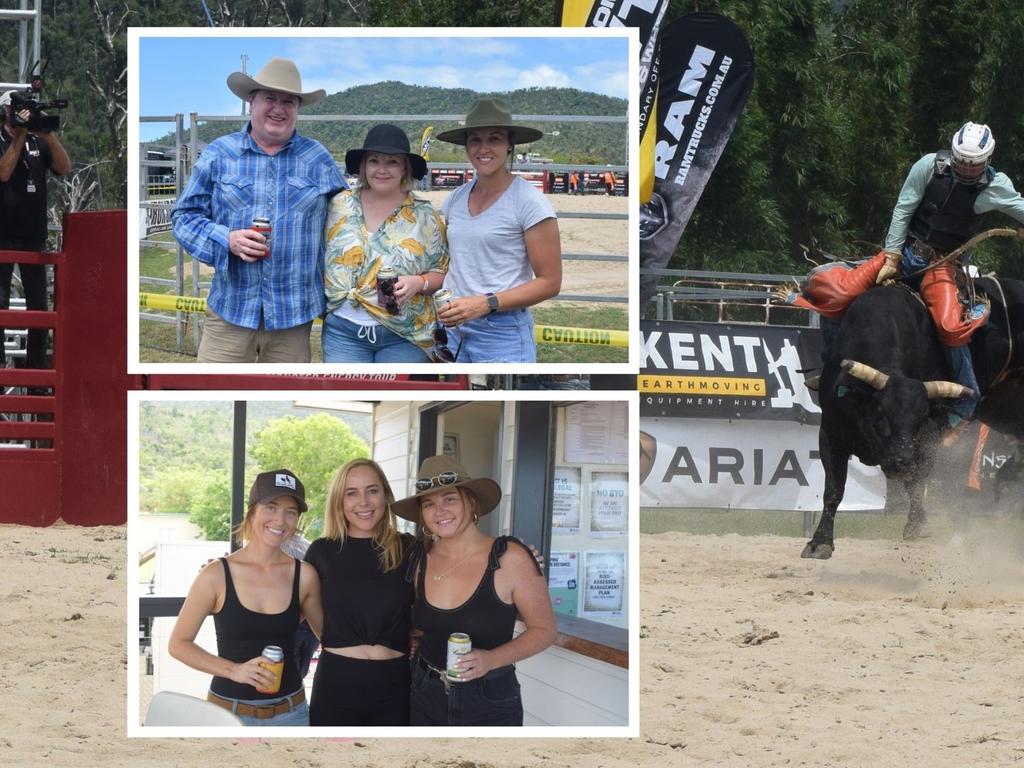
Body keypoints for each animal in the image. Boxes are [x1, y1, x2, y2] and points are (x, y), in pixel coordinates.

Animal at [798, 278, 1024, 561]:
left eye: (919, 421)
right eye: (880, 417)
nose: (902, 463)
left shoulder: (931, 434)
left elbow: (917, 481)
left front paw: (917, 525)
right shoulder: (830, 432)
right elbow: (833, 490)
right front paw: (819, 543)